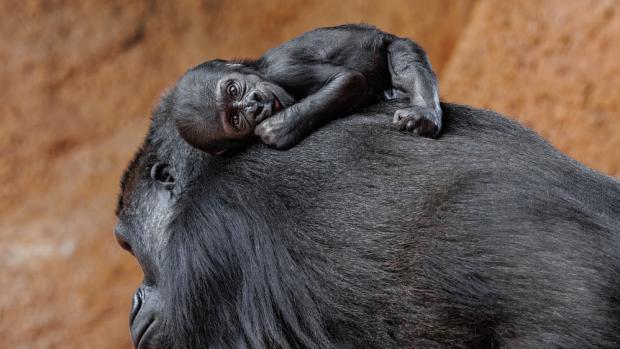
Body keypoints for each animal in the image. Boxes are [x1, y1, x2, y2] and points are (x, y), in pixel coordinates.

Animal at [170, 24, 440, 154]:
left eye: (233, 90)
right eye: (236, 119)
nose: (254, 105)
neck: (261, 70)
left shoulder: (284, 68)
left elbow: (348, 79)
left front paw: (279, 128)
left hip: (393, 42)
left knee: (407, 63)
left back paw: (423, 115)